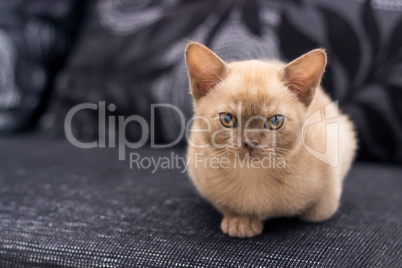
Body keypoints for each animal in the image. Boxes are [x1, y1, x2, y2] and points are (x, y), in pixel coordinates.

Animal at [184, 40, 356, 238]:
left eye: (275, 121)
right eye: (227, 119)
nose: (250, 143)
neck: (252, 178)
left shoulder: (333, 156)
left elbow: (319, 211)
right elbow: (227, 205)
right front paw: (240, 221)